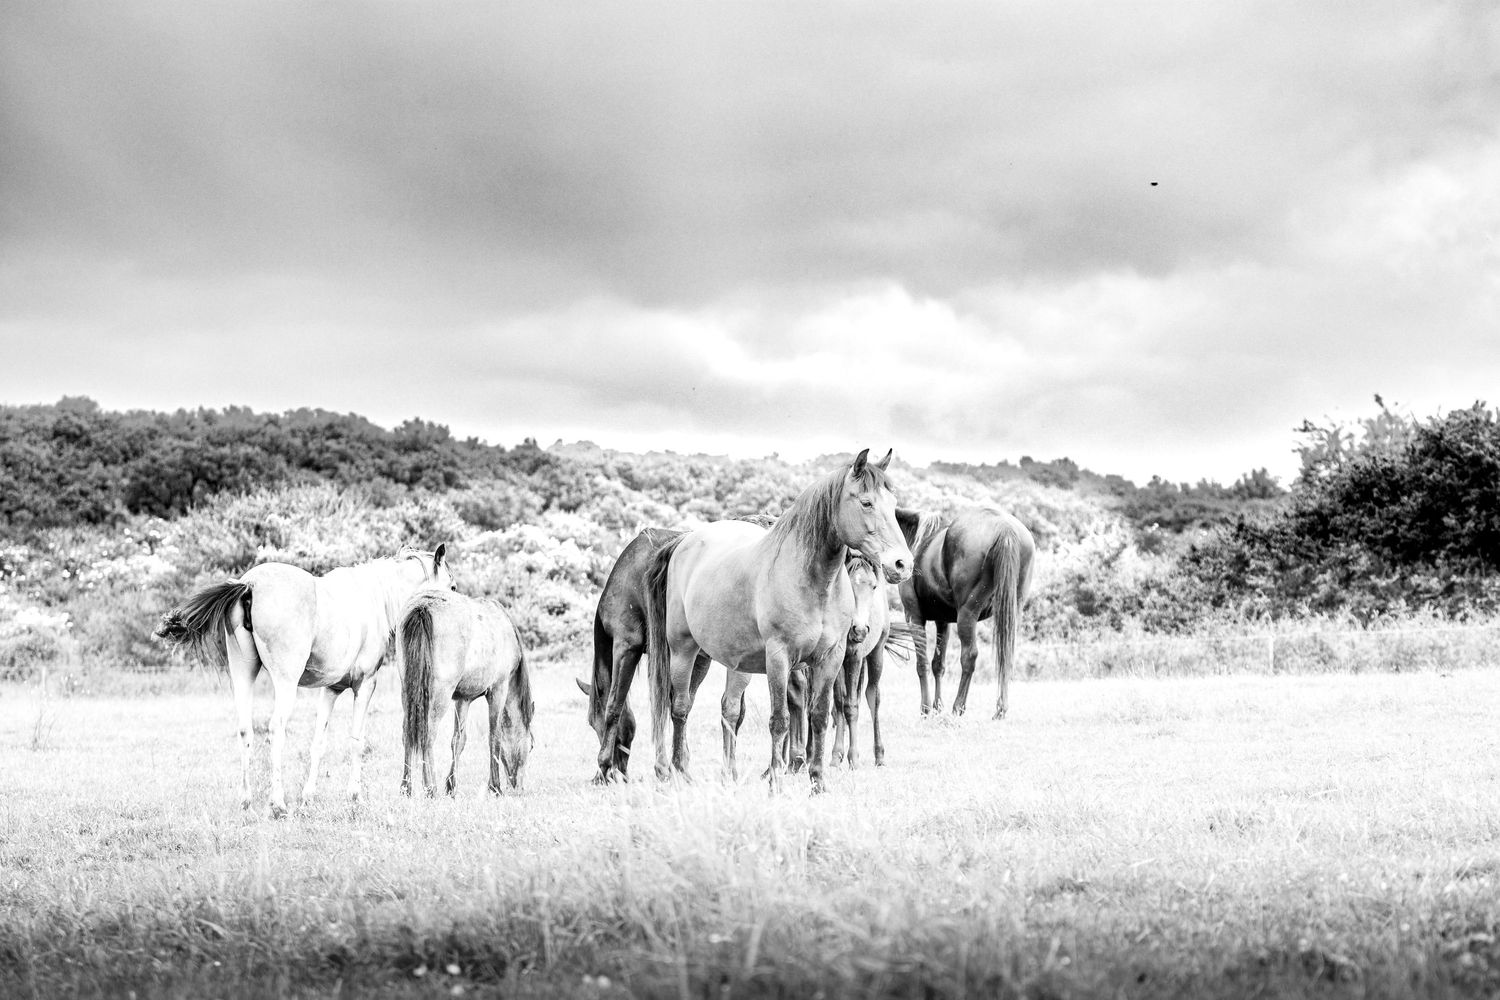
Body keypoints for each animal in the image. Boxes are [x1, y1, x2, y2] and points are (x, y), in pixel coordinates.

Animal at [153, 545, 453, 816]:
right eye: (451, 586)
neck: (375, 596)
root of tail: (249, 585)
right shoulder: (365, 685)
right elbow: (356, 741)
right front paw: (354, 797)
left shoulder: (331, 689)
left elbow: (318, 743)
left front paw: (309, 798)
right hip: (285, 683)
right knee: (276, 729)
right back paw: (277, 804)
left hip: (243, 673)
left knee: (245, 730)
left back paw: (246, 802)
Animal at [397, 589, 534, 797]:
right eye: (531, 746)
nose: (519, 787)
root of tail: (423, 607)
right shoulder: (498, 689)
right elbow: (495, 737)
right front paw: (495, 787)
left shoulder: (463, 699)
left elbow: (458, 740)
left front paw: (452, 786)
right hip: (440, 695)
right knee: (428, 734)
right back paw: (430, 788)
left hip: (408, 690)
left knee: (408, 732)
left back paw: (406, 787)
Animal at [645, 449, 913, 793]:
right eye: (866, 502)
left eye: (893, 504)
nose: (902, 564)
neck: (811, 582)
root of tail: (684, 542)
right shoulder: (780, 657)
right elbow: (780, 719)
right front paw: (775, 781)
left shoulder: (831, 658)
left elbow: (819, 715)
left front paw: (817, 781)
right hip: (683, 651)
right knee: (679, 707)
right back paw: (680, 774)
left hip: (733, 662)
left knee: (728, 710)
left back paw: (728, 776)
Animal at [895, 506, 1035, 719]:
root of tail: (1004, 527)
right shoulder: (942, 621)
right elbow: (938, 664)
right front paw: (937, 707)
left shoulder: (914, 615)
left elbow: (922, 662)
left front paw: (926, 710)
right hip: (1011, 612)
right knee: (1006, 655)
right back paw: (1000, 710)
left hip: (967, 615)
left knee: (969, 656)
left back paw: (958, 707)